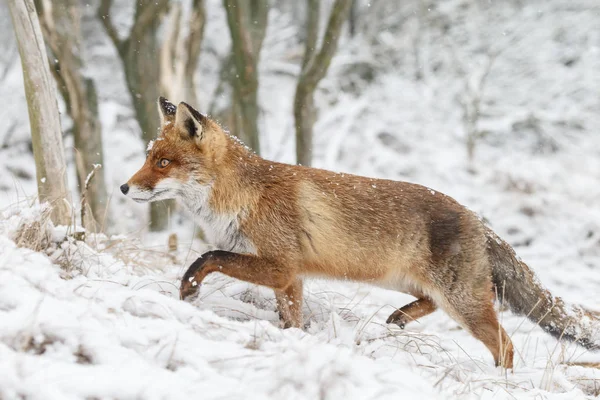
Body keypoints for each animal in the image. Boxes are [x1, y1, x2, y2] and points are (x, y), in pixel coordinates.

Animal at [123, 97, 600, 368]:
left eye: (163, 163)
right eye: (148, 157)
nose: (125, 188)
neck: (244, 197)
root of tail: (478, 219)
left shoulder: (279, 266)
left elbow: (209, 258)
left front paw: (188, 288)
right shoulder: (291, 278)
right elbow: (291, 318)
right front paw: (294, 342)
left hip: (464, 303)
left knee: (506, 346)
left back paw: (501, 381)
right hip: (410, 283)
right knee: (428, 304)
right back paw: (398, 319)